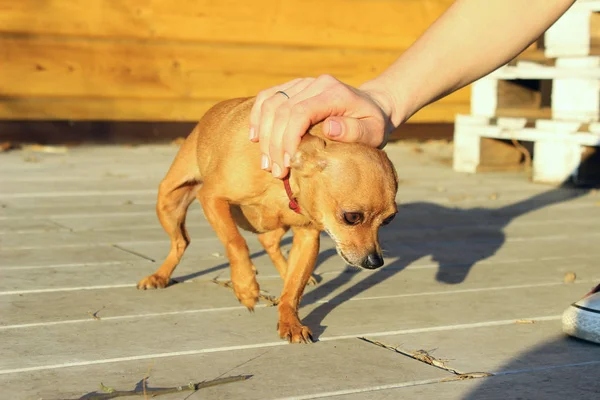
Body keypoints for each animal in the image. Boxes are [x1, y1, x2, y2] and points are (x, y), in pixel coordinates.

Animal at [137, 97, 398, 344]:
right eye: (352, 217)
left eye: (388, 220)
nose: (375, 262)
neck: (283, 180)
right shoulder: (212, 198)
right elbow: (235, 242)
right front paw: (245, 285)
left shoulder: (307, 237)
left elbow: (293, 290)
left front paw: (290, 321)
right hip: (169, 202)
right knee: (181, 241)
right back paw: (160, 276)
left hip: (277, 223)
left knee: (269, 243)